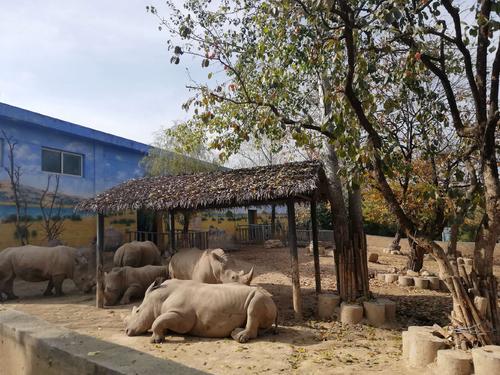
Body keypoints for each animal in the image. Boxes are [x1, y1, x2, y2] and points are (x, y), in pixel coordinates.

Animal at [124, 280, 278, 344]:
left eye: (137, 311)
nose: (126, 331)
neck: (158, 298)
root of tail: (274, 301)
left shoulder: (182, 316)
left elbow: (157, 320)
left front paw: (156, 340)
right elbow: (160, 320)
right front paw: (163, 334)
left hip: (261, 297)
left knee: (254, 306)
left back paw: (240, 337)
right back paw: (235, 333)